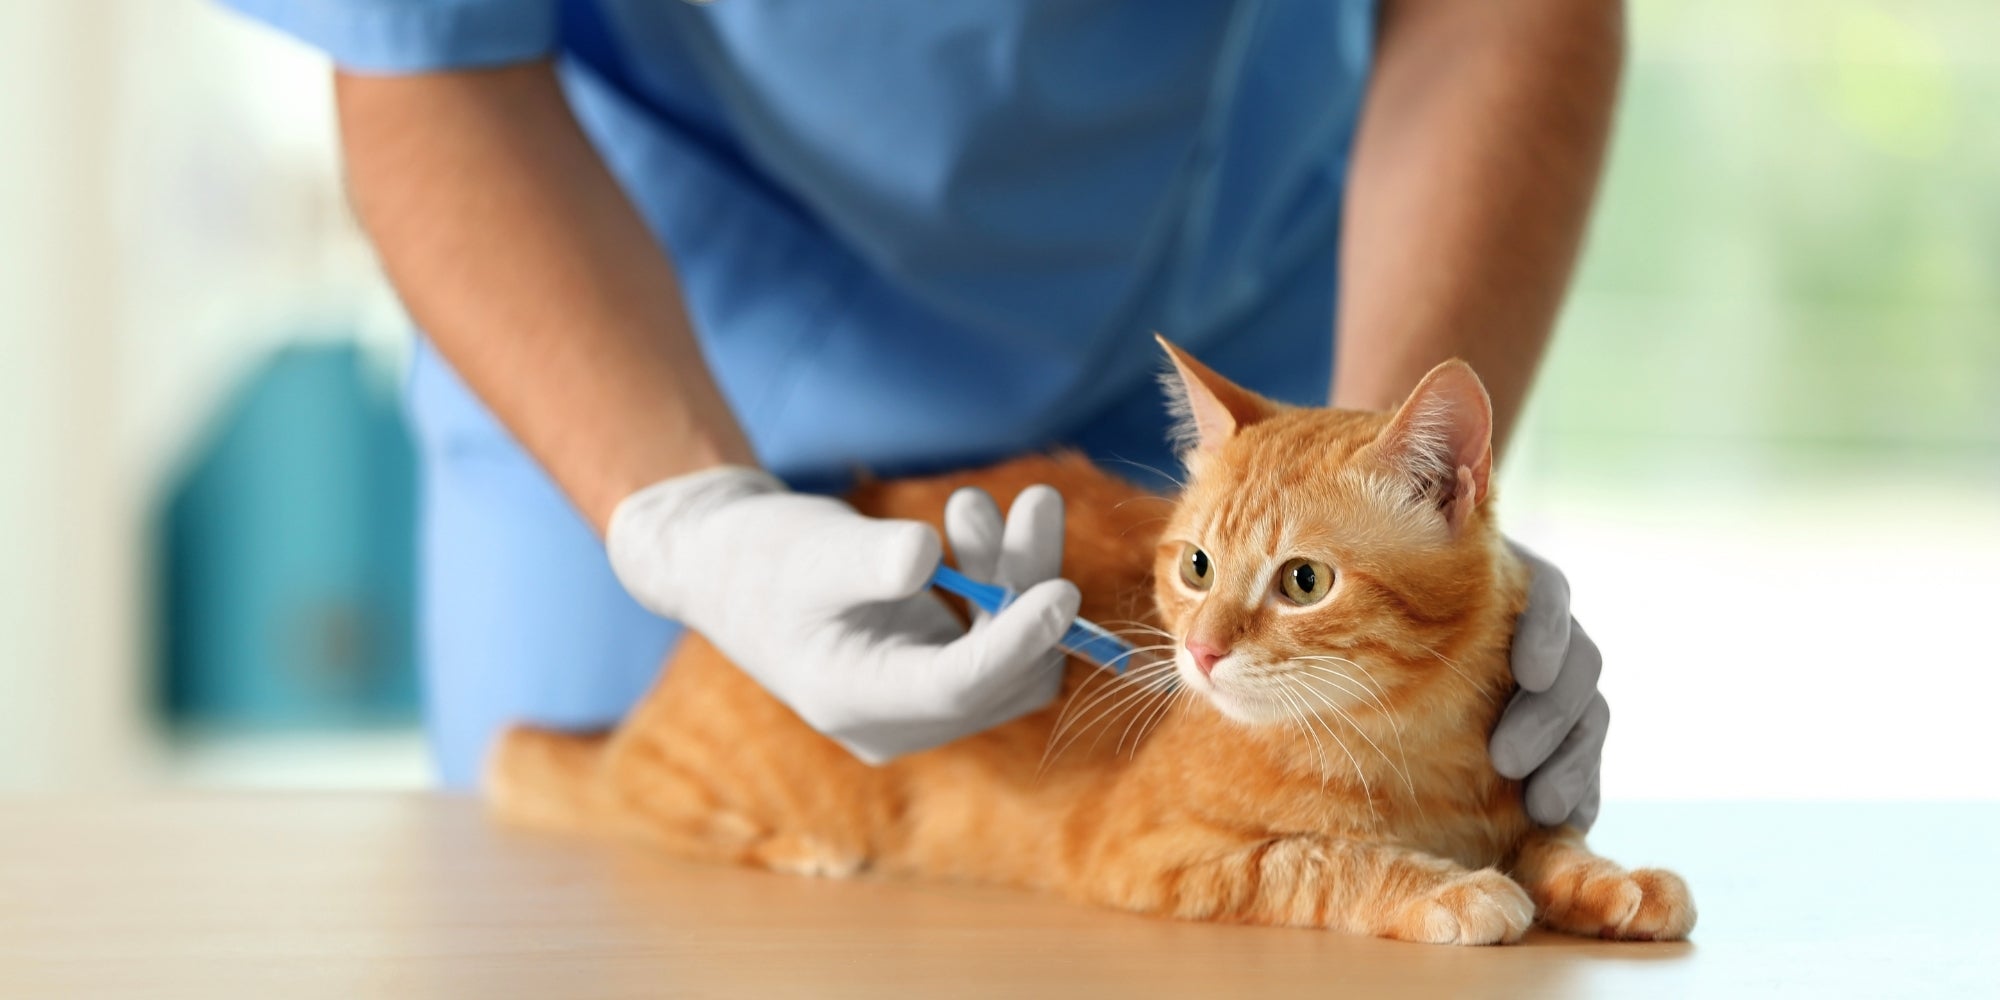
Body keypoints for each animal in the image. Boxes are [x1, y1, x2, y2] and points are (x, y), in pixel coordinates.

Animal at [484, 340, 1688, 940]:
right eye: (1194, 565)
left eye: (1302, 581)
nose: (1200, 652)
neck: (1411, 753)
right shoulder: (1152, 854)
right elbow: (1319, 859)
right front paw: (1445, 889)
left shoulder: (1513, 796)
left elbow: (1552, 840)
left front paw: (1610, 878)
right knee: (641, 801)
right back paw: (797, 848)